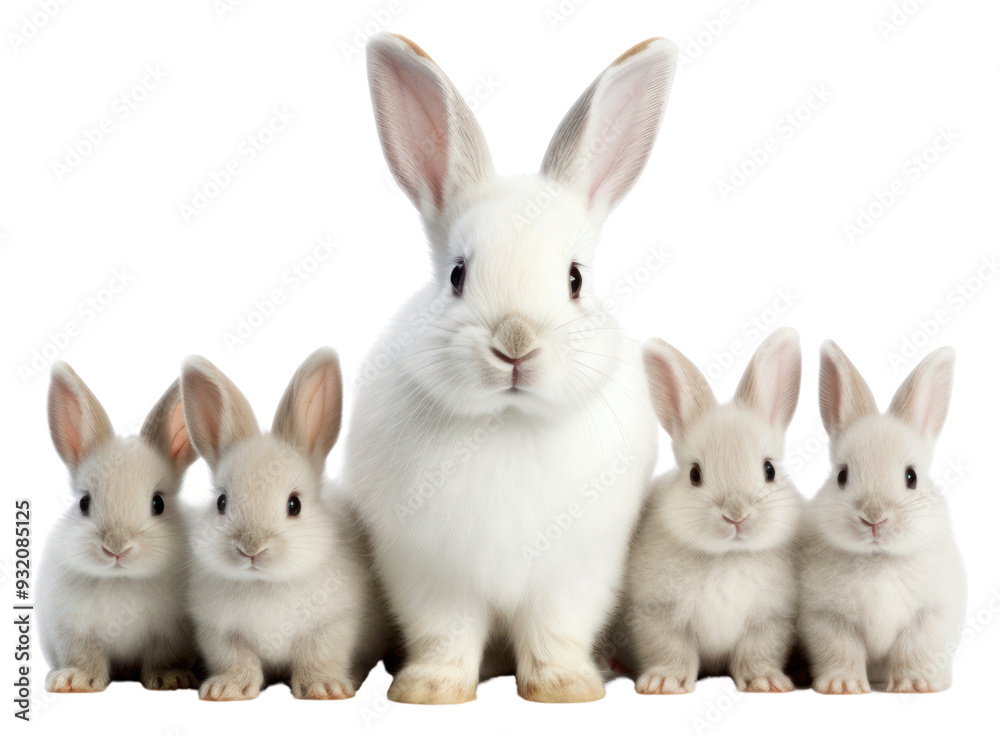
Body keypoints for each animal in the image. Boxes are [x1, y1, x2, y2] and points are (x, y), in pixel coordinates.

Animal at [37, 362, 199, 692]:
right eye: (84, 502)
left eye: (158, 504)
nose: (116, 547)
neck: (122, 579)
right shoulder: (74, 633)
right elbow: (86, 658)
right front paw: (76, 681)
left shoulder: (171, 636)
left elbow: (162, 658)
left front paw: (170, 679)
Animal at [181, 348, 386, 701]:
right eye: (221, 502)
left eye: (295, 505)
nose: (251, 549)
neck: (266, 583)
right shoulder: (220, 634)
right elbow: (237, 660)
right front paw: (226, 690)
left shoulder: (334, 624)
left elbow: (319, 656)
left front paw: (324, 688)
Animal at [343, 33, 678, 704]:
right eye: (456, 274)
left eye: (575, 279)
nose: (515, 342)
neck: (509, 421)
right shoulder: (431, 576)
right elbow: (444, 635)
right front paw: (429, 691)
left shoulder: (572, 575)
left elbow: (554, 632)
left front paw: (565, 689)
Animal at [620, 327, 804, 694]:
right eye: (695, 474)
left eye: (769, 470)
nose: (736, 515)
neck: (727, 556)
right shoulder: (656, 615)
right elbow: (671, 651)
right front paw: (663, 683)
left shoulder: (770, 623)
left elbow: (757, 653)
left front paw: (765, 683)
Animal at [799, 342, 966, 694]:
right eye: (842, 476)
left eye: (911, 476)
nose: (874, 518)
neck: (879, 558)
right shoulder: (828, 619)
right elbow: (842, 650)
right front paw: (843, 686)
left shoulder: (928, 618)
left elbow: (913, 651)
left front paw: (916, 685)